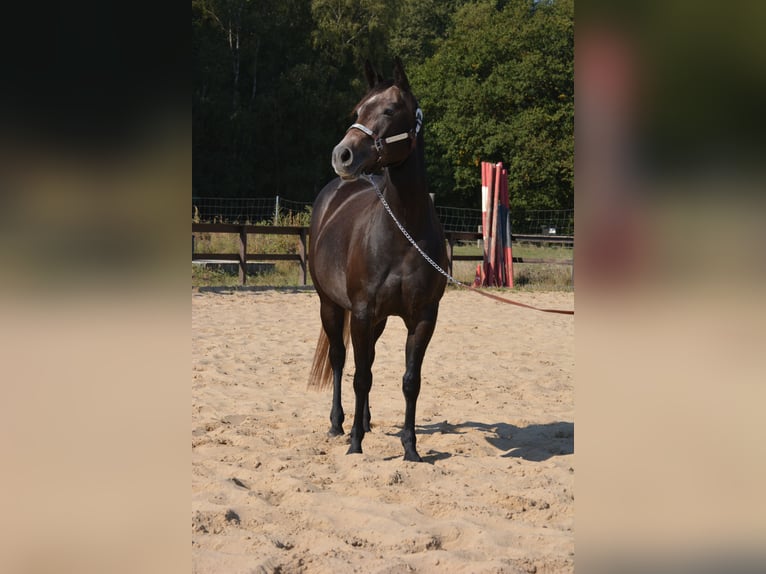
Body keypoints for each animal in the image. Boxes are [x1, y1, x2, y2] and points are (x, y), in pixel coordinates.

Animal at [308, 58, 448, 462]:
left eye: (389, 110)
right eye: (357, 112)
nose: (342, 155)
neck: (404, 230)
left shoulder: (423, 318)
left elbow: (410, 381)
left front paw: (411, 447)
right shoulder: (362, 311)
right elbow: (360, 375)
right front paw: (355, 443)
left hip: (377, 319)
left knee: (363, 359)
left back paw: (367, 421)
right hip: (331, 306)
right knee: (341, 359)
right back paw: (339, 424)